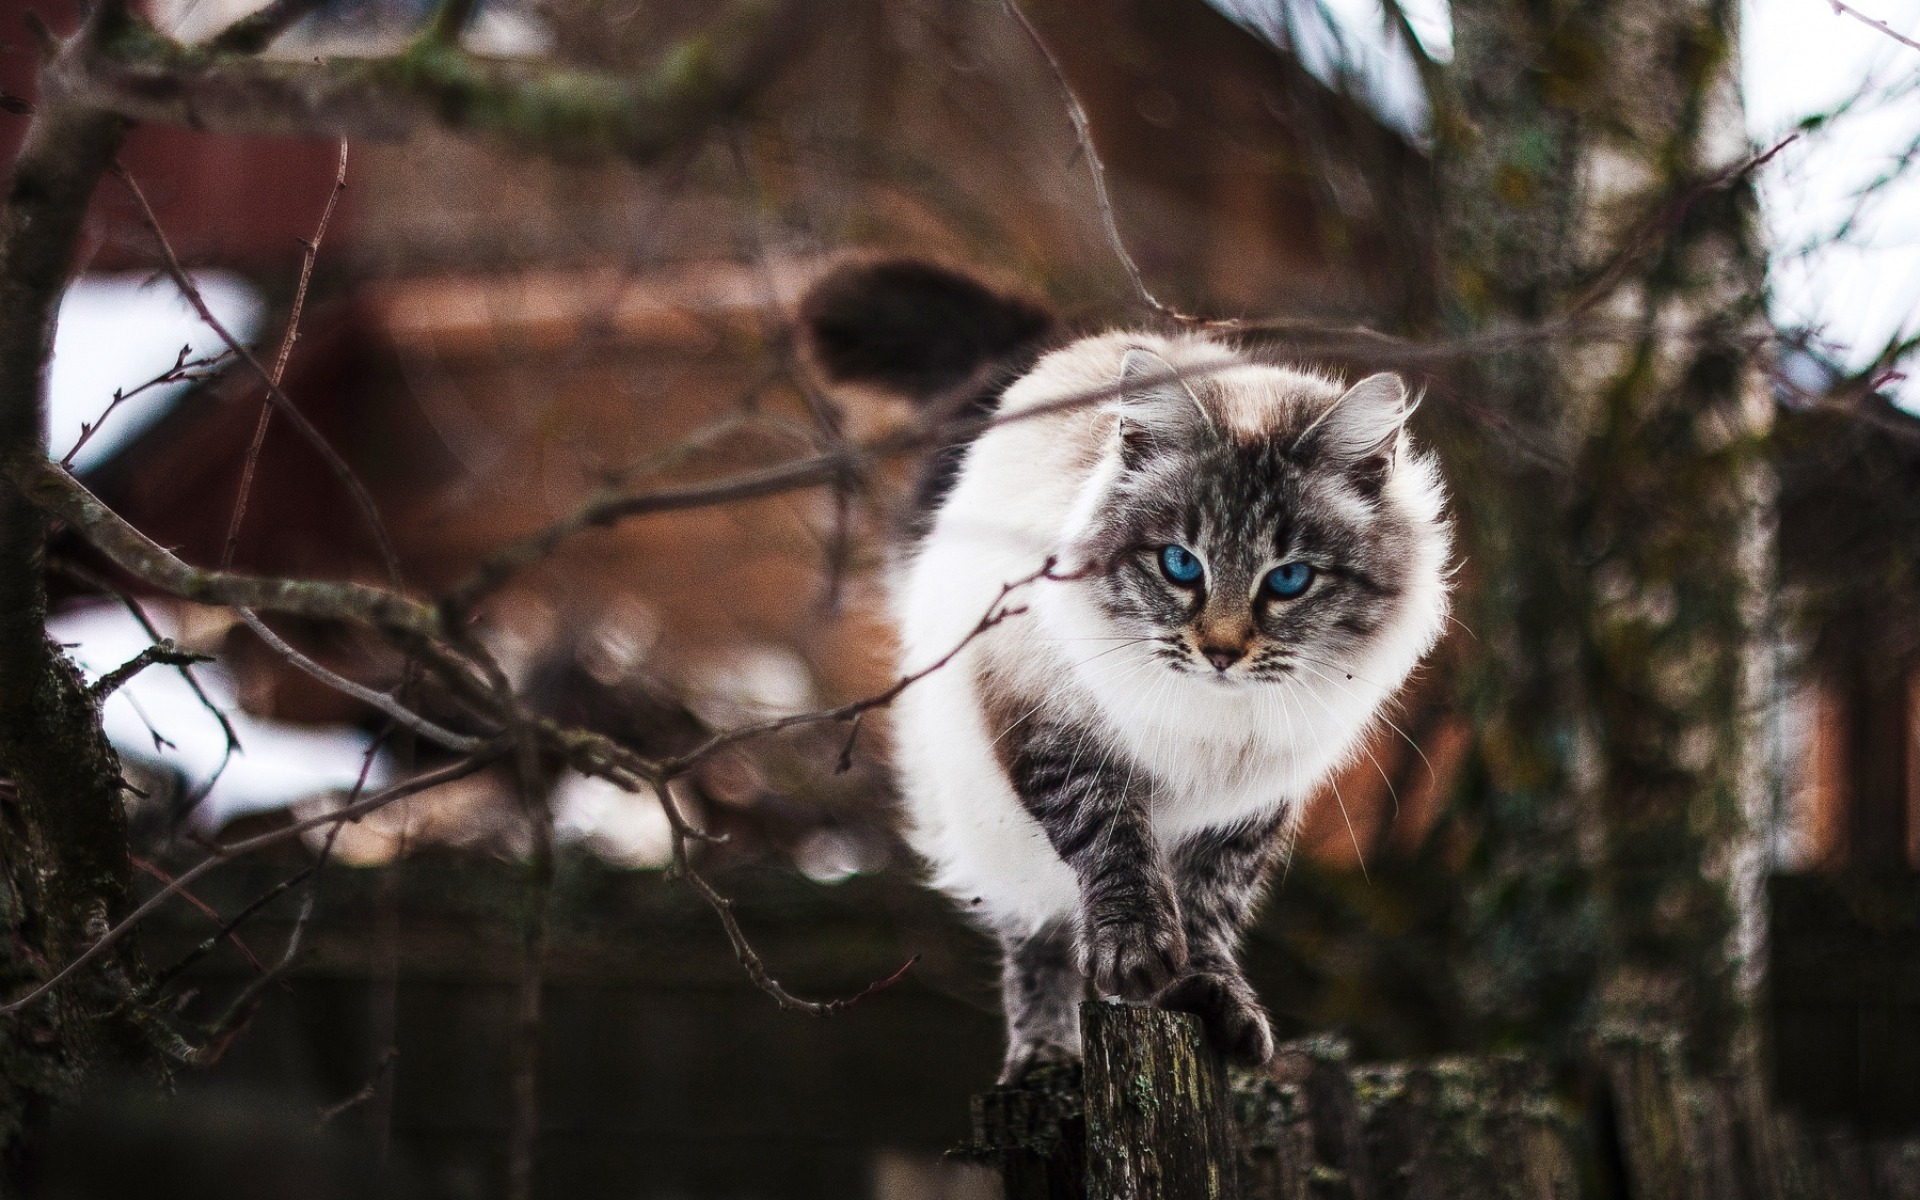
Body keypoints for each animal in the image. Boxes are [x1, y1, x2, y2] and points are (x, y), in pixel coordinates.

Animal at [802, 257, 1443, 1082]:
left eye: (1290, 579)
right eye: (1180, 565)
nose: (1221, 651)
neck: (1212, 719)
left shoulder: (1249, 804)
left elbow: (1210, 909)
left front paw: (1208, 996)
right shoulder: (1056, 732)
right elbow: (1114, 843)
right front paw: (1135, 958)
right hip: (980, 804)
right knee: (1032, 934)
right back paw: (1044, 1058)